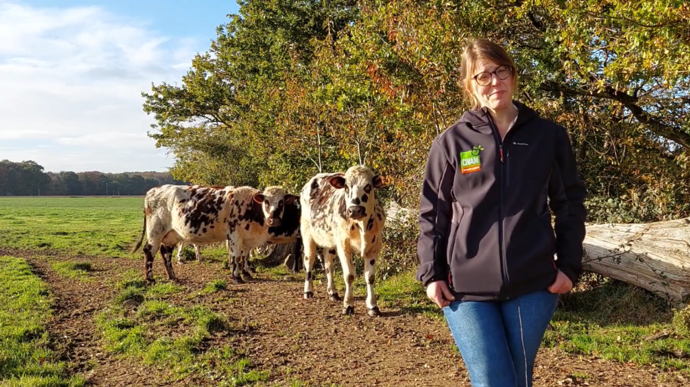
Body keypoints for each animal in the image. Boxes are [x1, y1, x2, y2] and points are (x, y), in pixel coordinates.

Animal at [132, 185, 298, 284]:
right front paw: (237, 276)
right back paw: (150, 279)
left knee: (165, 253)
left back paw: (173, 276)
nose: (273, 220)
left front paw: (246, 274)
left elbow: (244, 256)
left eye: (282, 202)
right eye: (266, 202)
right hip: (155, 231)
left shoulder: (246, 239)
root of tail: (153, 190)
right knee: (149, 251)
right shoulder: (234, 235)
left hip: (171, 234)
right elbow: (236, 256)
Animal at [298, 165, 384, 316]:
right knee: (309, 260)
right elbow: (349, 275)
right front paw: (348, 305)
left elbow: (370, 277)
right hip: (307, 232)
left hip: (331, 241)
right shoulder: (344, 246)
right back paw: (308, 291)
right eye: (346, 187)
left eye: (368, 186)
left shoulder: (374, 246)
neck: (362, 226)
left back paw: (332, 292)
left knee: (328, 264)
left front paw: (373, 306)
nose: (355, 210)